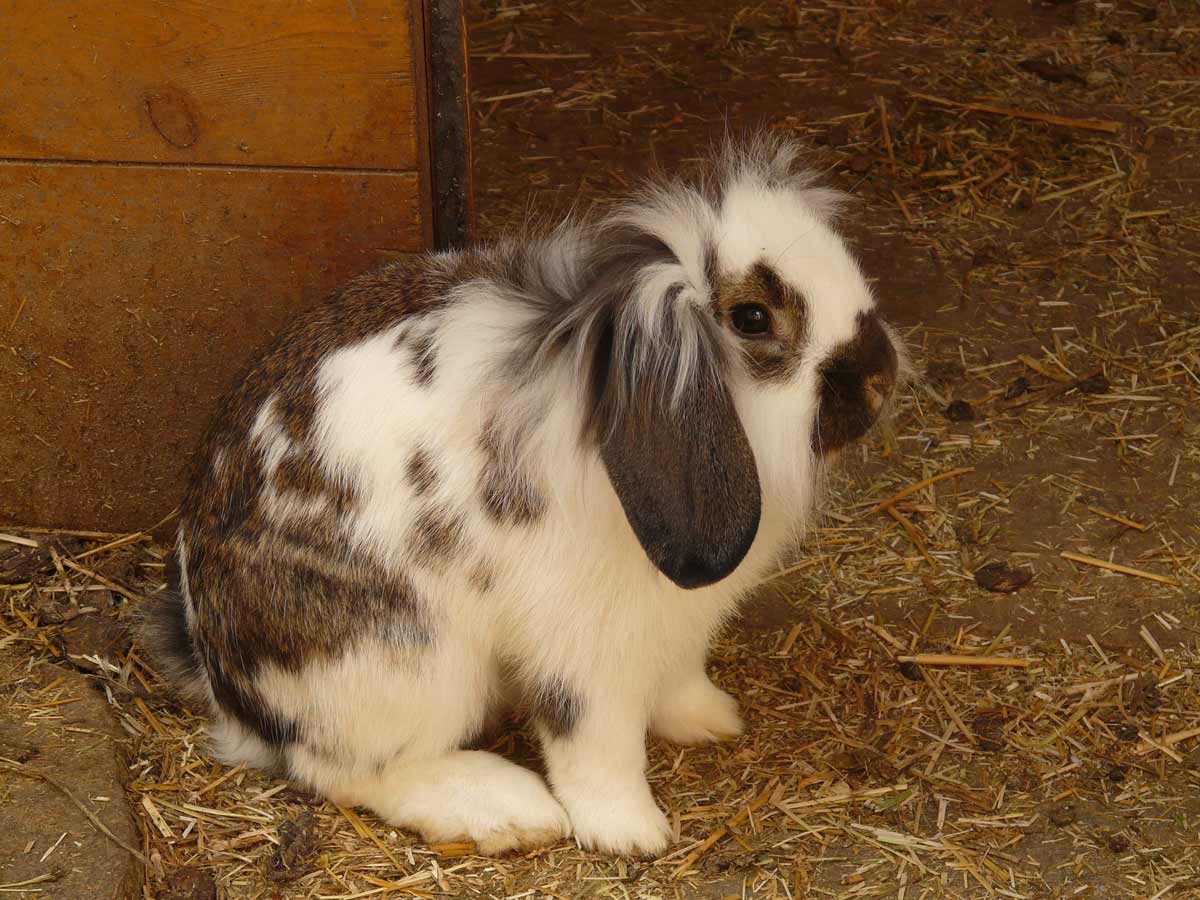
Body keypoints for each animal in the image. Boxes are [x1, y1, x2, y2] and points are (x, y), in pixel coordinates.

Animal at [140, 133, 902, 859]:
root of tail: (223, 677)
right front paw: (631, 832)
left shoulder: (673, 624)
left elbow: (677, 679)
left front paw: (710, 719)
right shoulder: (584, 649)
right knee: (349, 769)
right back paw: (506, 810)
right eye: (751, 318)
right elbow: (596, 744)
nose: (881, 377)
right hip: (406, 658)